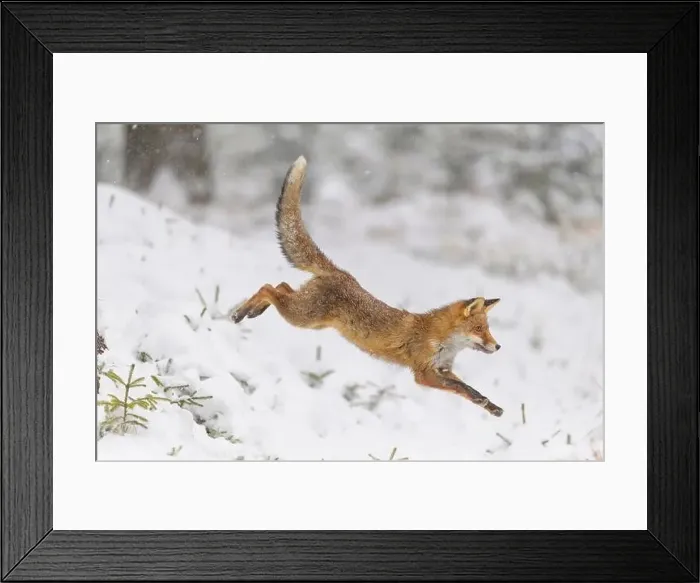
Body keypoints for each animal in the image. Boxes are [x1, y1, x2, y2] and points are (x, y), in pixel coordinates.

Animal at [232, 156, 505, 417]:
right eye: (479, 329)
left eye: (487, 329)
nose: (498, 346)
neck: (441, 340)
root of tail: (342, 273)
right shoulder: (423, 373)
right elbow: (460, 388)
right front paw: (485, 402)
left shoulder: (444, 369)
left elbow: (467, 389)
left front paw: (491, 406)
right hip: (301, 317)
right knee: (268, 287)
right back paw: (240, 313)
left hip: (311, 319)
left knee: (282, 286)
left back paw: (253, 309)